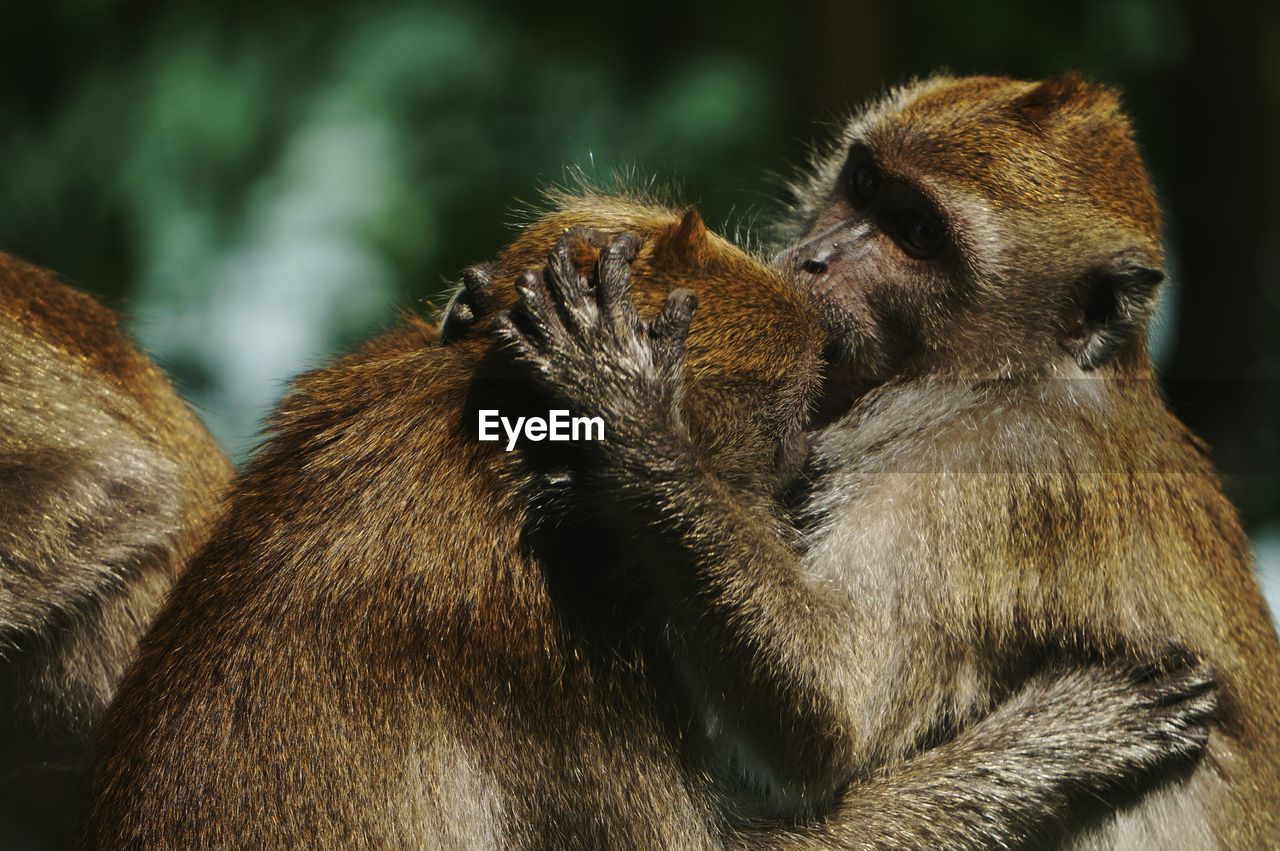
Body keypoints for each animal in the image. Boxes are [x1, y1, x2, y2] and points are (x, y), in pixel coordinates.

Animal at [491, 76, 1280, 844]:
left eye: (920, 233)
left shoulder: (984, 466)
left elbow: (833, 707)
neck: (1003, 374)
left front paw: (633, 424)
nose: (817, 258)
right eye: (865, 184)